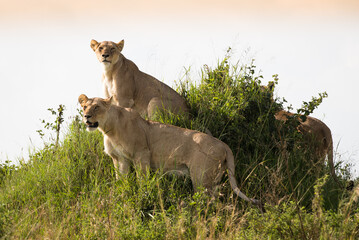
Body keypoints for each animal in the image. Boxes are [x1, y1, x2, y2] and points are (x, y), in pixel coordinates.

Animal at [79, 94, 262, 207]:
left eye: (96, 107)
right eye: (85, 107)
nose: (86, 116)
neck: (109, 128)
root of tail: (223, 144)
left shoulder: (142, 154)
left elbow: (142, 180)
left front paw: (142, 195)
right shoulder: (120, 159)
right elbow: (121, 181)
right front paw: (121, 195)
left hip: (201, 178)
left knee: (210, 201)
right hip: (213, 178)